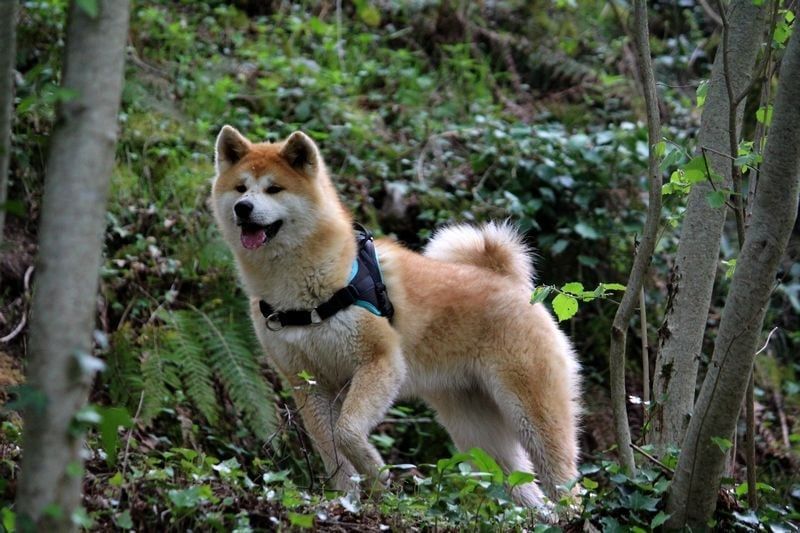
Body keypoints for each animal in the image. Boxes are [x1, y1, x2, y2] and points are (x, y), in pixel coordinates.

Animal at [209, 125, 580, 512]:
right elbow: (332, 451)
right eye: (241, 188)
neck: (304, 287)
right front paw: (344, 501)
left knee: (565, 483)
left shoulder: (379, 362)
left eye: (274, 189)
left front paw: (376, 472)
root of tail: (509, 281)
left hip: (532, 415)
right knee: (526, 489)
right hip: (477, 433)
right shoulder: (307, 384)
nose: (243, 208)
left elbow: (347, 432)